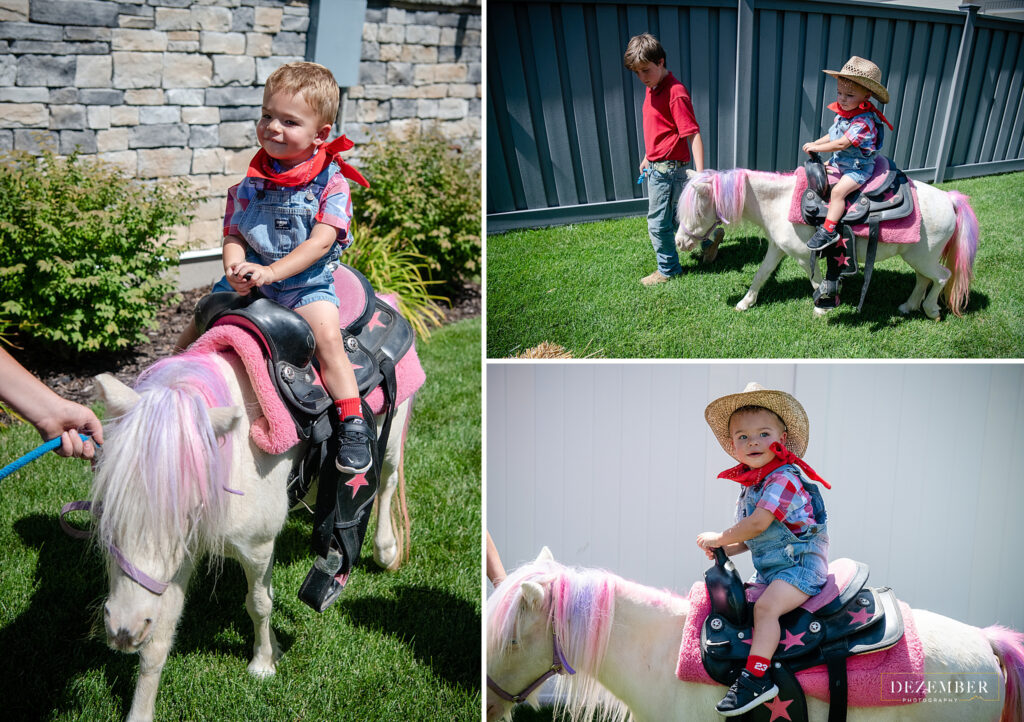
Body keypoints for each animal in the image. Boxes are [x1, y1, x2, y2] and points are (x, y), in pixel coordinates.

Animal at [89, 346, 411, 716]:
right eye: (108, 504)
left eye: (185, 508)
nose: (122, 629)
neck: (235, 457)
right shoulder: (178, 561)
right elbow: (160, 636)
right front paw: (140, 712)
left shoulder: (257, 548)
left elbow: (259, 604)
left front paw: (263, 663)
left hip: (392, 434)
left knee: (387, 481)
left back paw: (385, 550)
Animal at [675, 168, 978, 317]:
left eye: (698, 210)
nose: (679, 242)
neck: (780, 201)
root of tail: (949, 199)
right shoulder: (777, 249)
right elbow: (761, 275)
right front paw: (745, 303)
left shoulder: (801, 255)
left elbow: (816, 281)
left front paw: (821, 307)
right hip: (917, 257)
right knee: (923, 279)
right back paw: (908, 306)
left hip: (924, 257)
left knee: (941, 277)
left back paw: (930, 309)